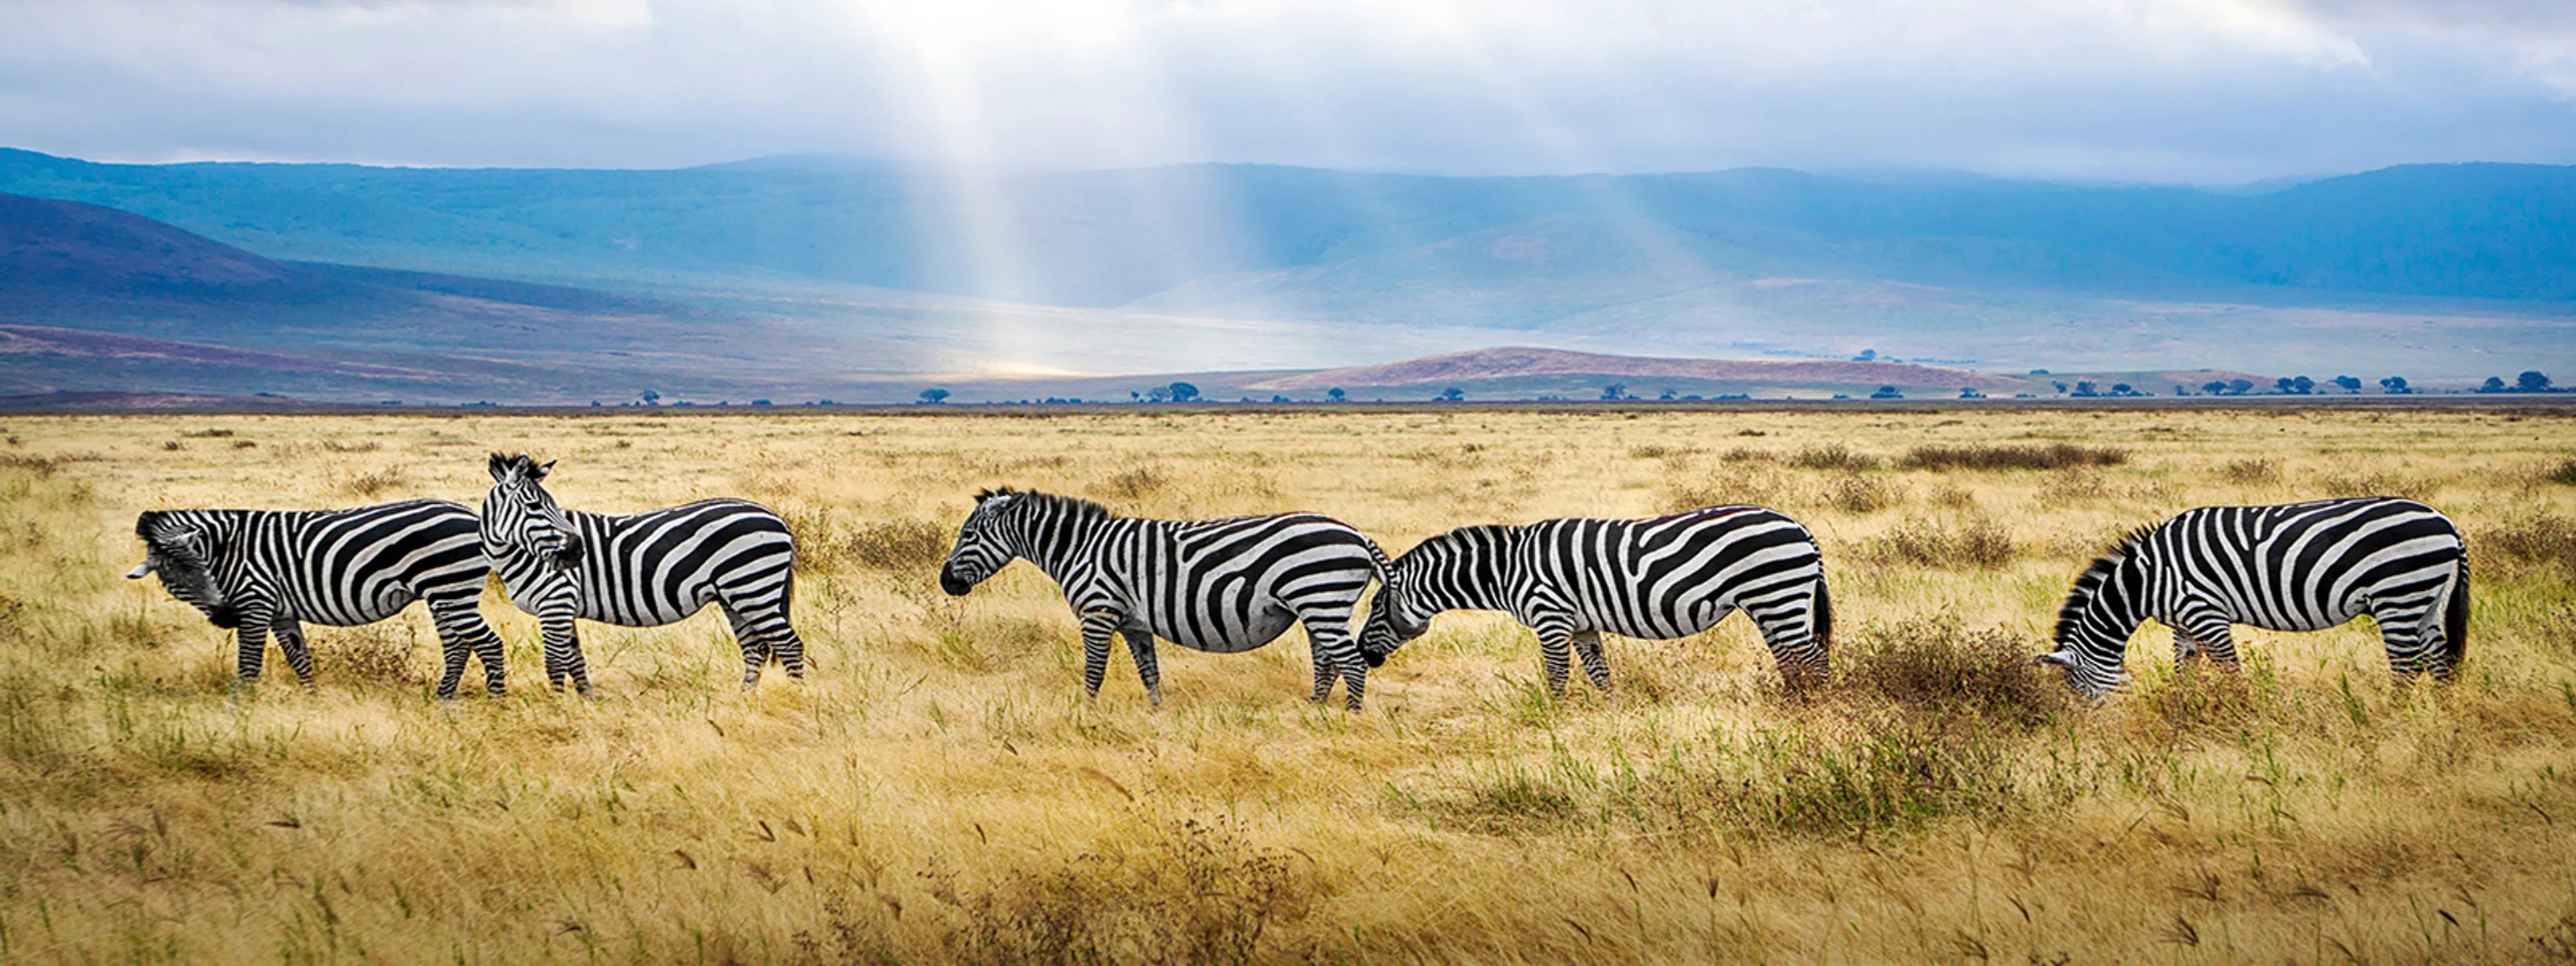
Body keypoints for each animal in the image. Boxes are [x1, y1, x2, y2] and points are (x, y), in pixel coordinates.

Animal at [125, 501, 508, 699]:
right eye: (176, 581)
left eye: (203, 569)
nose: (224, 617)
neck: (228, 548)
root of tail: (472, 515)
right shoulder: (279, 611)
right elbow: (299, 658)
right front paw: (311, 699)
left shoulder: (255, 602)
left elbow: (249, 665)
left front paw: (240, 708)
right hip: (443, 593)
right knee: (458, 647)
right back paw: (444, 698)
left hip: (450, 588)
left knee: (489, 644)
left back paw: (496, 701)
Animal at [481, 453, 806, 693]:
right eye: (535, 506)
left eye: (551, 506)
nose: (576, 551)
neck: (521, 554)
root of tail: (776, 517)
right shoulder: (563, 607)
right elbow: (575, 661)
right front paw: (587, 703)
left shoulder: (556, 602)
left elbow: (555, 662)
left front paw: (557, 707)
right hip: (736, 596)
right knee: (756, 648)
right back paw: (745, 699)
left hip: (753, 588)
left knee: (789, 645)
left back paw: (796, 697)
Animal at [937, 488, 1394, 711]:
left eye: (968, 535)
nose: (945, 583)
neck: (1080, 549)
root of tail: (1356, 534)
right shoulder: (1133, 623)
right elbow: (1149, 672)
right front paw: (1156, 715)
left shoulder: (1098, 612)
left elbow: (1094, 671)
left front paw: (1086, 714)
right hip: (1317, 607)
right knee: (1327, 661)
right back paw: (1313, 710)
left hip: (1320, 599)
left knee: (1351, 662)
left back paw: (1350, 716)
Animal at [1357, 505, 1833, 694]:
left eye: (1376, 608)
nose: (1363, 652)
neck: (1507, 570)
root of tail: (1799, 527)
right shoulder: (1583, 626)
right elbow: (1601, 676)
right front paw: (1609, 718)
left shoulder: (1551, 618)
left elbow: (1557, 678)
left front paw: (1554, 722)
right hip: (1770, 604)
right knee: (1792, 659)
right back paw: (1793, 703)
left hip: (1776, 594)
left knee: (1812, 658)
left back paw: (1814, 708)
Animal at [2041, 497, 2469, 698]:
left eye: (2077, 689)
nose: (2089, 730)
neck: (2146, 579)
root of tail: (2446, 522)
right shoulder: (2183, 623)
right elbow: (2185, 668)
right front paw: (2181, 708)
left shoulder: (2205, 612)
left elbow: (2230, 670)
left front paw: (2240, 712)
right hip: (2425, 598)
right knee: (2439, 658)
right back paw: (2444, 718)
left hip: (2397, 593)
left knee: (2406, 666)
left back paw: (2390, 720)